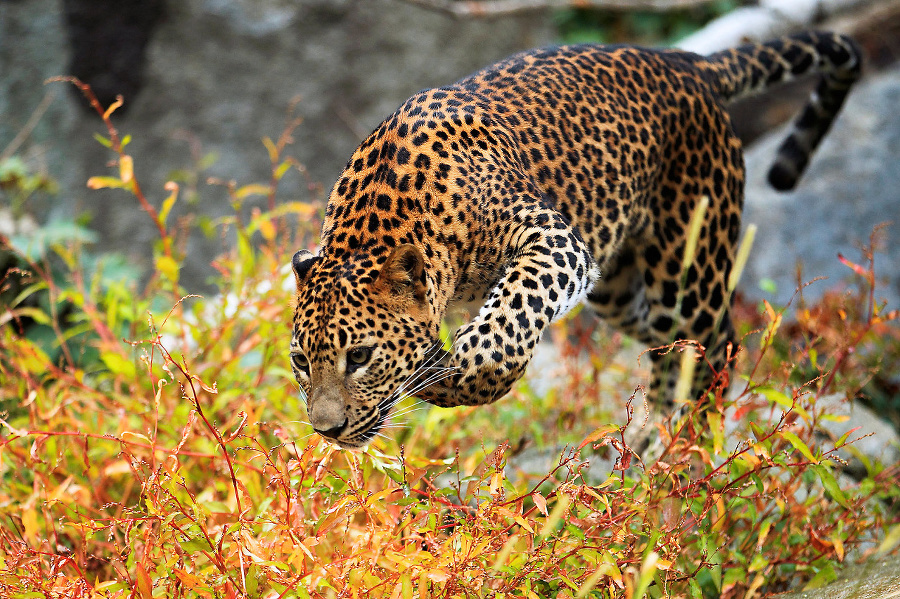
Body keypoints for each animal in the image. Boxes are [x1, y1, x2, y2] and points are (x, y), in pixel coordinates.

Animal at [290, 30, 864, 448]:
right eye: (300, 362)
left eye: (359, 357)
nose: (327, 431)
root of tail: (687, 63)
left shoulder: (551, 239)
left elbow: (509, 318)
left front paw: (456, 375)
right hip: (622, 294)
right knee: (669, 349)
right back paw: (654, 442)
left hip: (687, 270)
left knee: (716, 344)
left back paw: (691, 442)